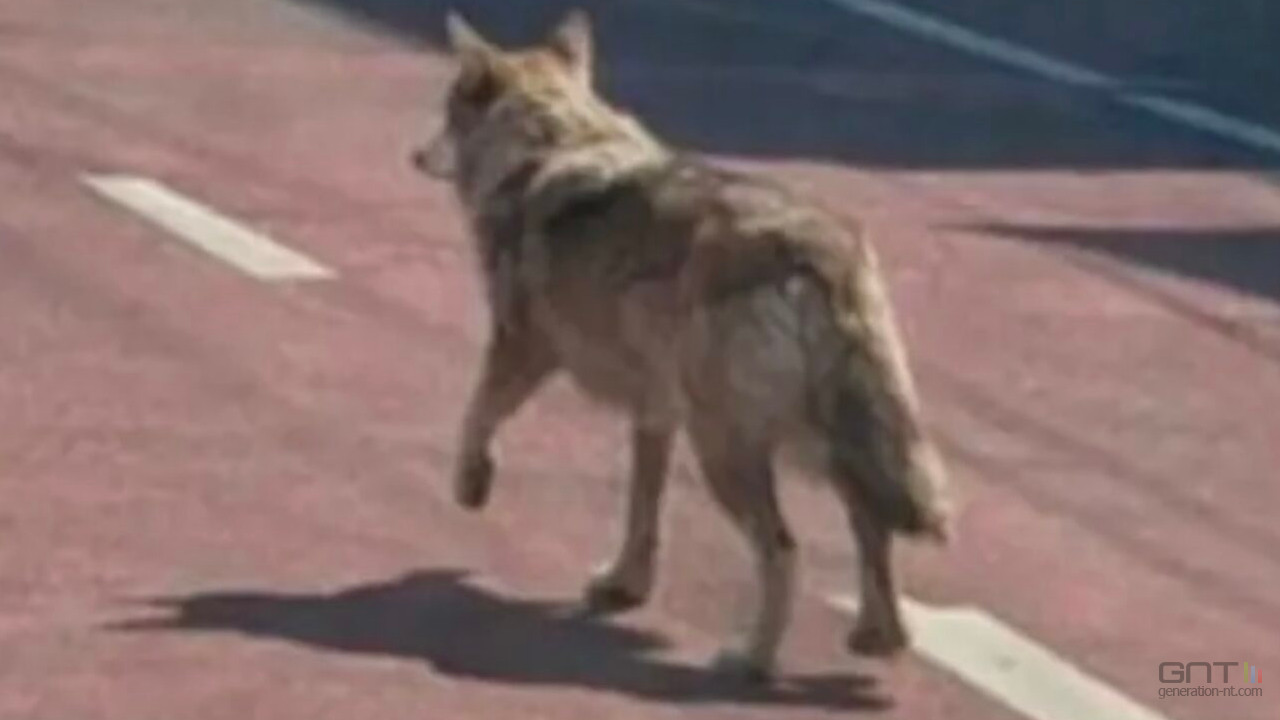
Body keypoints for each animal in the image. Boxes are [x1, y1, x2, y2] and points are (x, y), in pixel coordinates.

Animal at [411, 9, 953, 680]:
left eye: (447, 111)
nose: (413, 155)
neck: (552, 143)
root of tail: (819, 251)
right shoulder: (654, 413)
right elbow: (643, 512)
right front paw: (625, 585)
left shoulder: (523, 348)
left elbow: (475, 417)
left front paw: (472, 486)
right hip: (817, 441)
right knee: (871, 523)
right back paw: (879, 637)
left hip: (727, 447)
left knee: (784, 551)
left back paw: (752, 658)